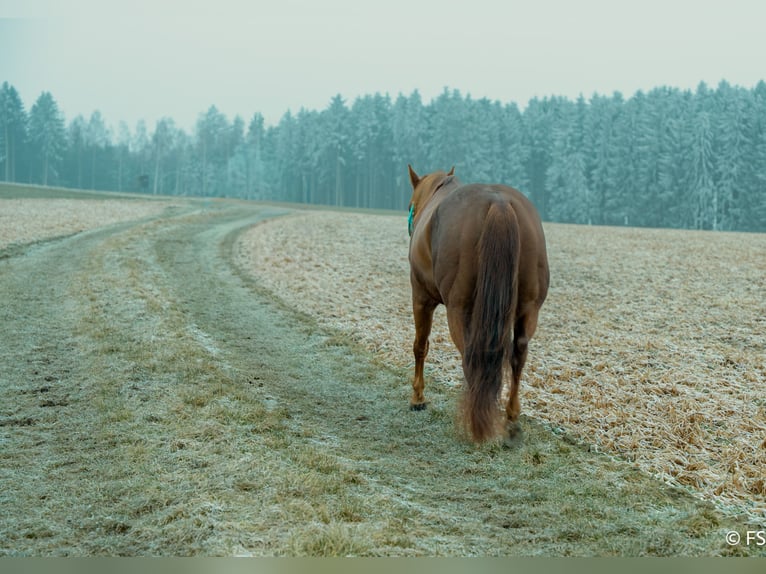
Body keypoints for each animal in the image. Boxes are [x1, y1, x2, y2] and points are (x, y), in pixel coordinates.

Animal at [406, 165, 549, 444]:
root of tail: (499, 204)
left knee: (470, 356)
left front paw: (418, 397)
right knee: (518, 354)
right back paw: (511, 421)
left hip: (459, 310)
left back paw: (476, 422)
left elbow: (420, 346)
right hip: (529, 309)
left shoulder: (420, 297)